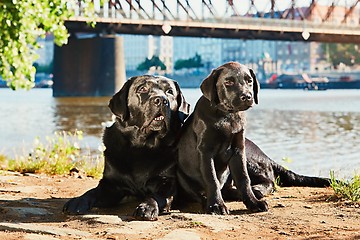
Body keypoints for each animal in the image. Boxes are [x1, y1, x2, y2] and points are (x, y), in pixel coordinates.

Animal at [63, 74, 190, 220]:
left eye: (169, 91)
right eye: (142, 89)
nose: (162, 100)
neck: (143, 146)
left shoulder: (168, 182)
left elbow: (156, 196)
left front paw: (147, 207)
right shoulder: (111, 185)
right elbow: (92, 192)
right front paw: (78, 201)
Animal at [176, 61, 268, 214]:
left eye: (249, 81)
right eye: (228, 82)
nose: (247, 96)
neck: (227, 115)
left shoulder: (238, 149)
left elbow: (244, 178)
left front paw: (253, 202)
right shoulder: (205, 151)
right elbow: (212, 179)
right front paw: (216, 205)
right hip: (181, 175)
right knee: (199, 193)